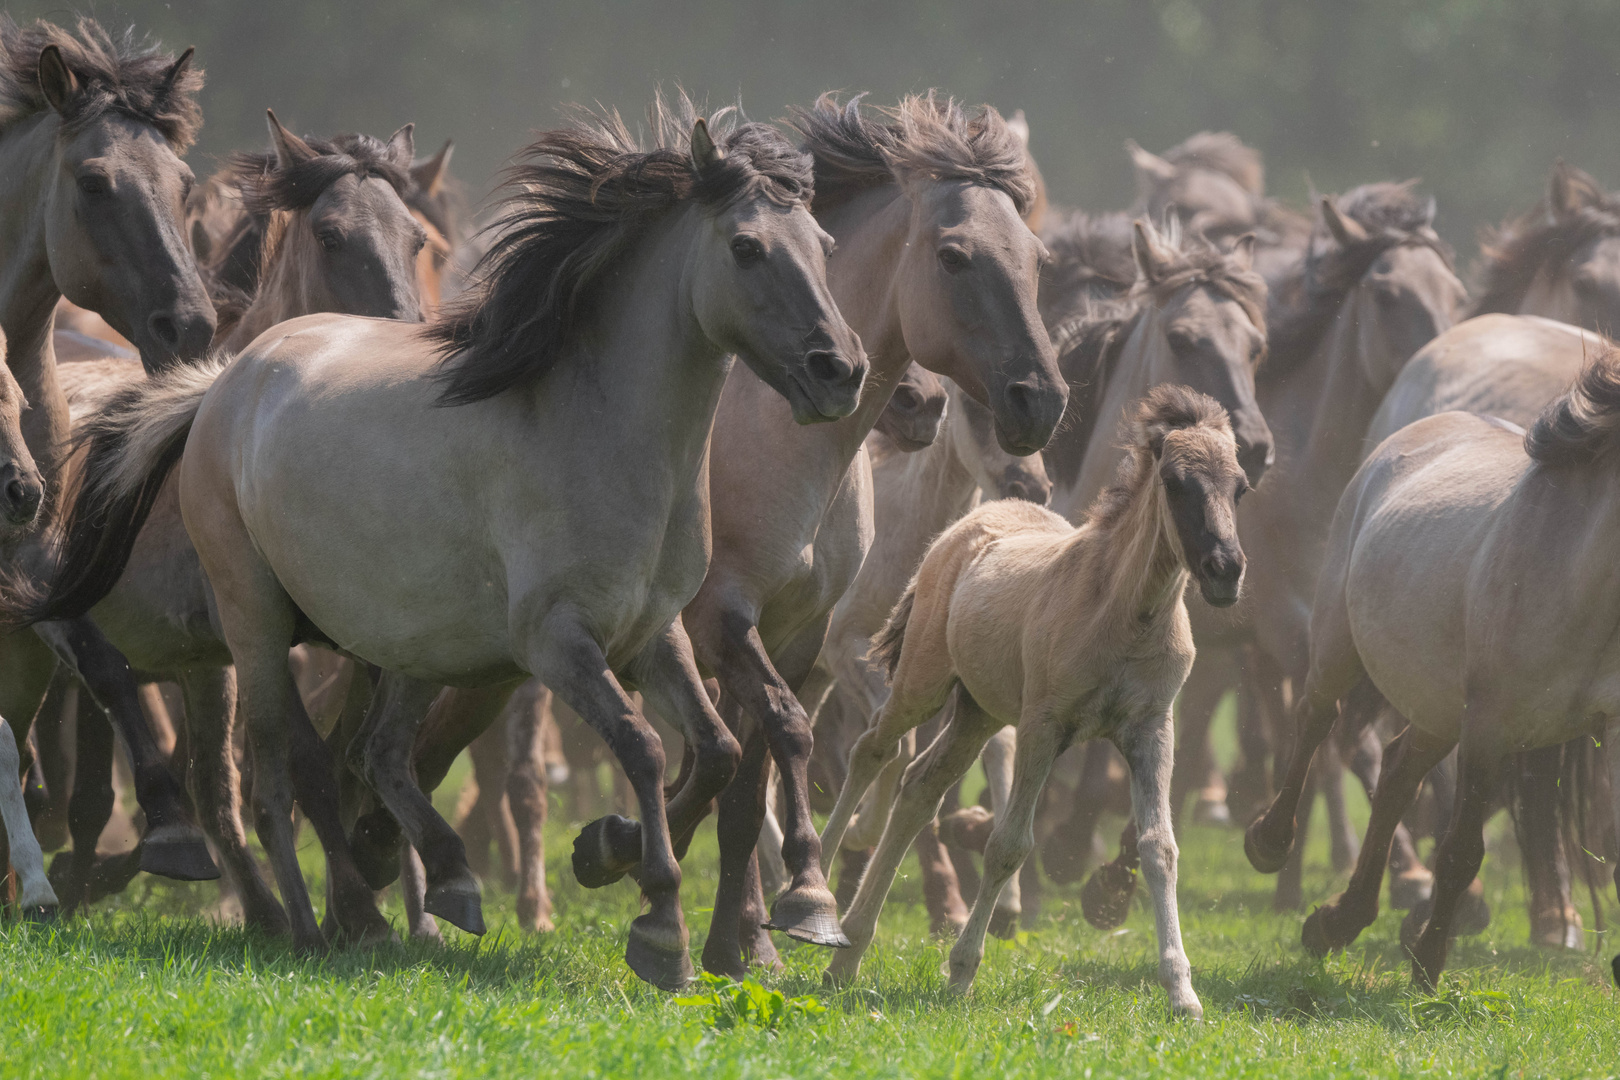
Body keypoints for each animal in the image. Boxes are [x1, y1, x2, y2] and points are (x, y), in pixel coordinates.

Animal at [22, 101, 874, 990]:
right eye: (746, 248)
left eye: (826, 245)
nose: (840, 371)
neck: (597, 432)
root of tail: (222, 382)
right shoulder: (557, 643)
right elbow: (643, 748)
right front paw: (661, 930)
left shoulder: (657, 635)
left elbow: (715, 753)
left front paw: (608, 853)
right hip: (253, 628)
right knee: (267, 779)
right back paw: (309, 924)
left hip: (403, 644)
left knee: (378, 754)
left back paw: (441, 887)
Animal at [822, 388, 1250, 1023]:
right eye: (1175, 483)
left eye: (1240, 487)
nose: (1226, 570)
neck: (1122, 615)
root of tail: (967, 524)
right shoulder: (1042, 725)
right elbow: (1009, 844)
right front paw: (961, 970)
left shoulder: (1152, 729)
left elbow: (1160, 848)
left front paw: (1183, 995)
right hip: (923, 682)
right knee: (873, 748)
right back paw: (809, 883)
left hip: (977, 711)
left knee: (921, 786)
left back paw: (848, 951)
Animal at [1244, 344, 1620, 990]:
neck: (1580, 571)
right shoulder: (1489, 725)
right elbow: (1462, 848)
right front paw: (1427, 964)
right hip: (1339, 643)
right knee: (1317, 719)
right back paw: (1270, 843)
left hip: (1437, 703)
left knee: (1396, 772)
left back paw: (1338, 920)